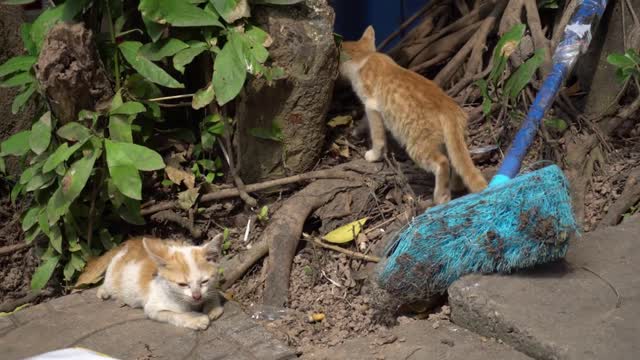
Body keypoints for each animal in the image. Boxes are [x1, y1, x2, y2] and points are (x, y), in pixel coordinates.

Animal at [79, 235, 226, 330]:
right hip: (113, 275)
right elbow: (174, 314)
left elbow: (214, 292)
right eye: (182, 284)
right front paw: (195, 319)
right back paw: (104, 292)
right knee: (107, 283)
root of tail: (130, 243)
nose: (197, 296)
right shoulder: (153, 308)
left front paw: (212, 307)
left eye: (204, 281)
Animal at [340, 25, 484, 204]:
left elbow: (377, 137)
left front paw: (374, 155)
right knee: (456, 160)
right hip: (448, 140)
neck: (366, 56)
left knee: (442, 162)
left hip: (417, 144)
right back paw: (456, 185)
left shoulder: (371, 106)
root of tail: (449, 107)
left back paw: (441, 196)